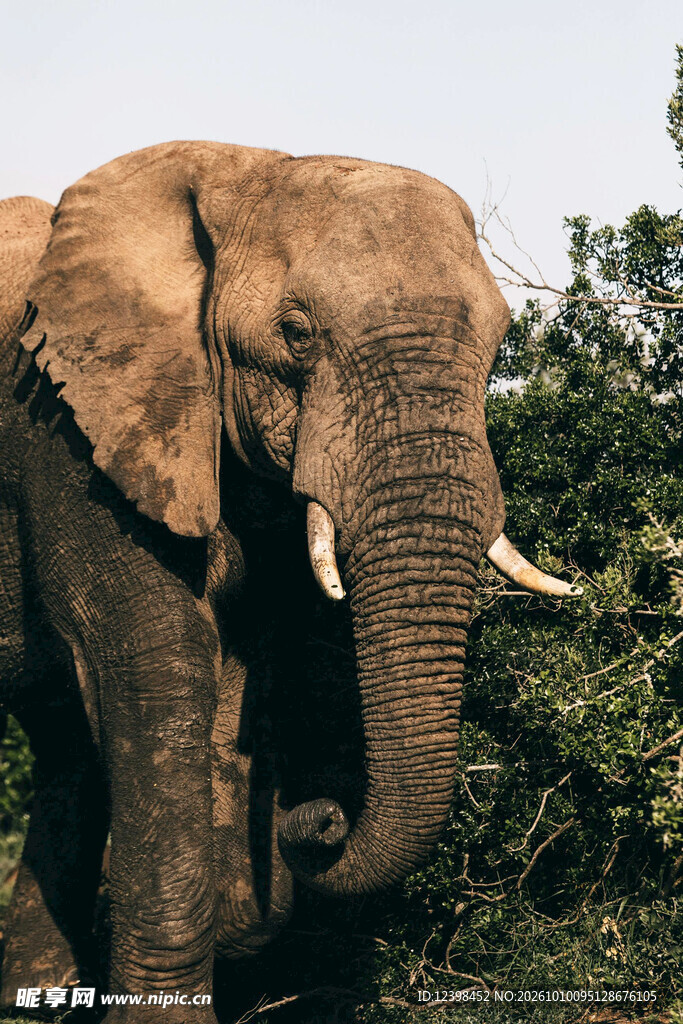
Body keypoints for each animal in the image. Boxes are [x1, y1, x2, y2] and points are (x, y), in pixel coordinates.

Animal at [0, 143, 581, 1021]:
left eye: (500, 340)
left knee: (63, 743)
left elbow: (241, 666)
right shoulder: (70, 431)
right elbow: (159, 666)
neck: (243, 168)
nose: (318, 817)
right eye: (296, 335)